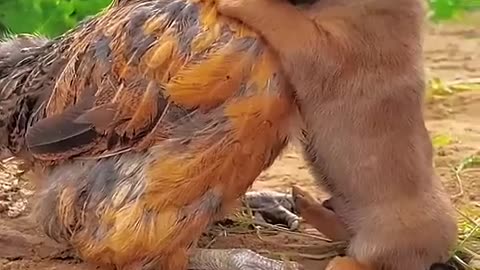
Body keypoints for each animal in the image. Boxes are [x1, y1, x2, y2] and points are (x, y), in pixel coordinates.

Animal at [217, 0, 458, 270]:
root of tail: (442, 252)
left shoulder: (321, 46)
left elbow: (282, 17)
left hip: (381, 245)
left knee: (362, 259)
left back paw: (338, 260)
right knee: (342, 231)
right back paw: (306, 202)